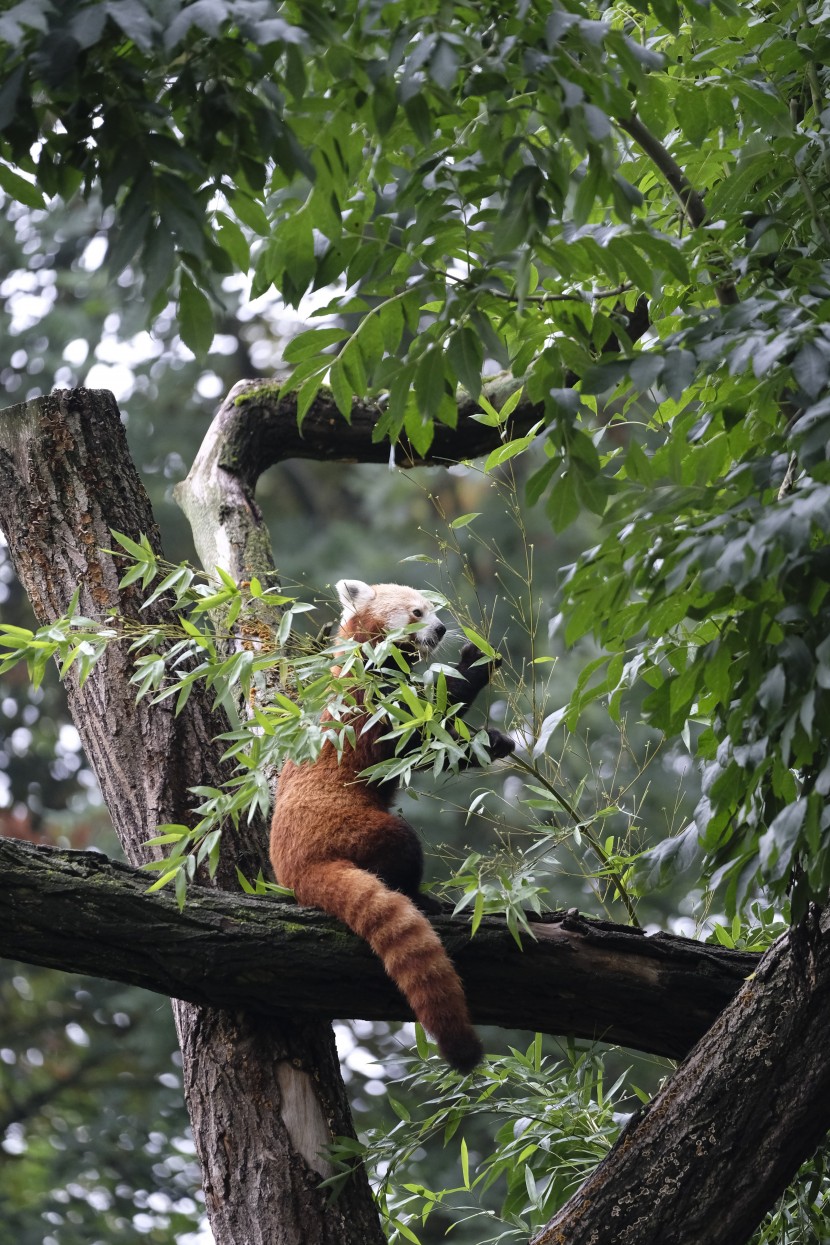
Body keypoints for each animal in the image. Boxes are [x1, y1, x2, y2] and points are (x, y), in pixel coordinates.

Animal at [271, 577, 512, 1075]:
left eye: (433, 609)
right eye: (418, 613)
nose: (441, 629)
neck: (367, 651)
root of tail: (295, 866)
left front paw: (493, 742)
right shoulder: (371, 702)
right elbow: (418, 734)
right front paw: (474, 663)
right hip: (355, 826)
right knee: (401, 850)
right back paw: (423, 896)